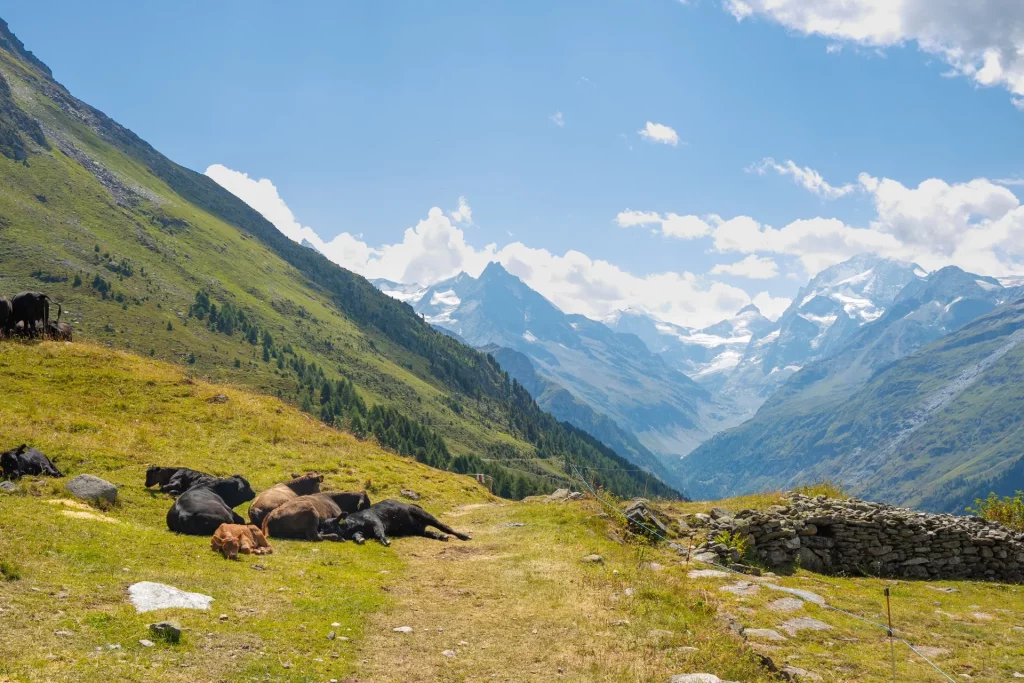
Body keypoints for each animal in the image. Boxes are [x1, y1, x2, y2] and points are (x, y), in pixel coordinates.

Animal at [319, 499, 471, 548]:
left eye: (326, 526)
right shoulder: (360, 531)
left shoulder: (376, 522)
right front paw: (360, 540)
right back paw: (441, 537)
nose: (319, 533)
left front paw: (386, 541)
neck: (352, 525)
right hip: (418, 530)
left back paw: (464, 536)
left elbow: (379, 533)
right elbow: (358, 536)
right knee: (429, 533)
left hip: (426, 516)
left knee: (445, 527)